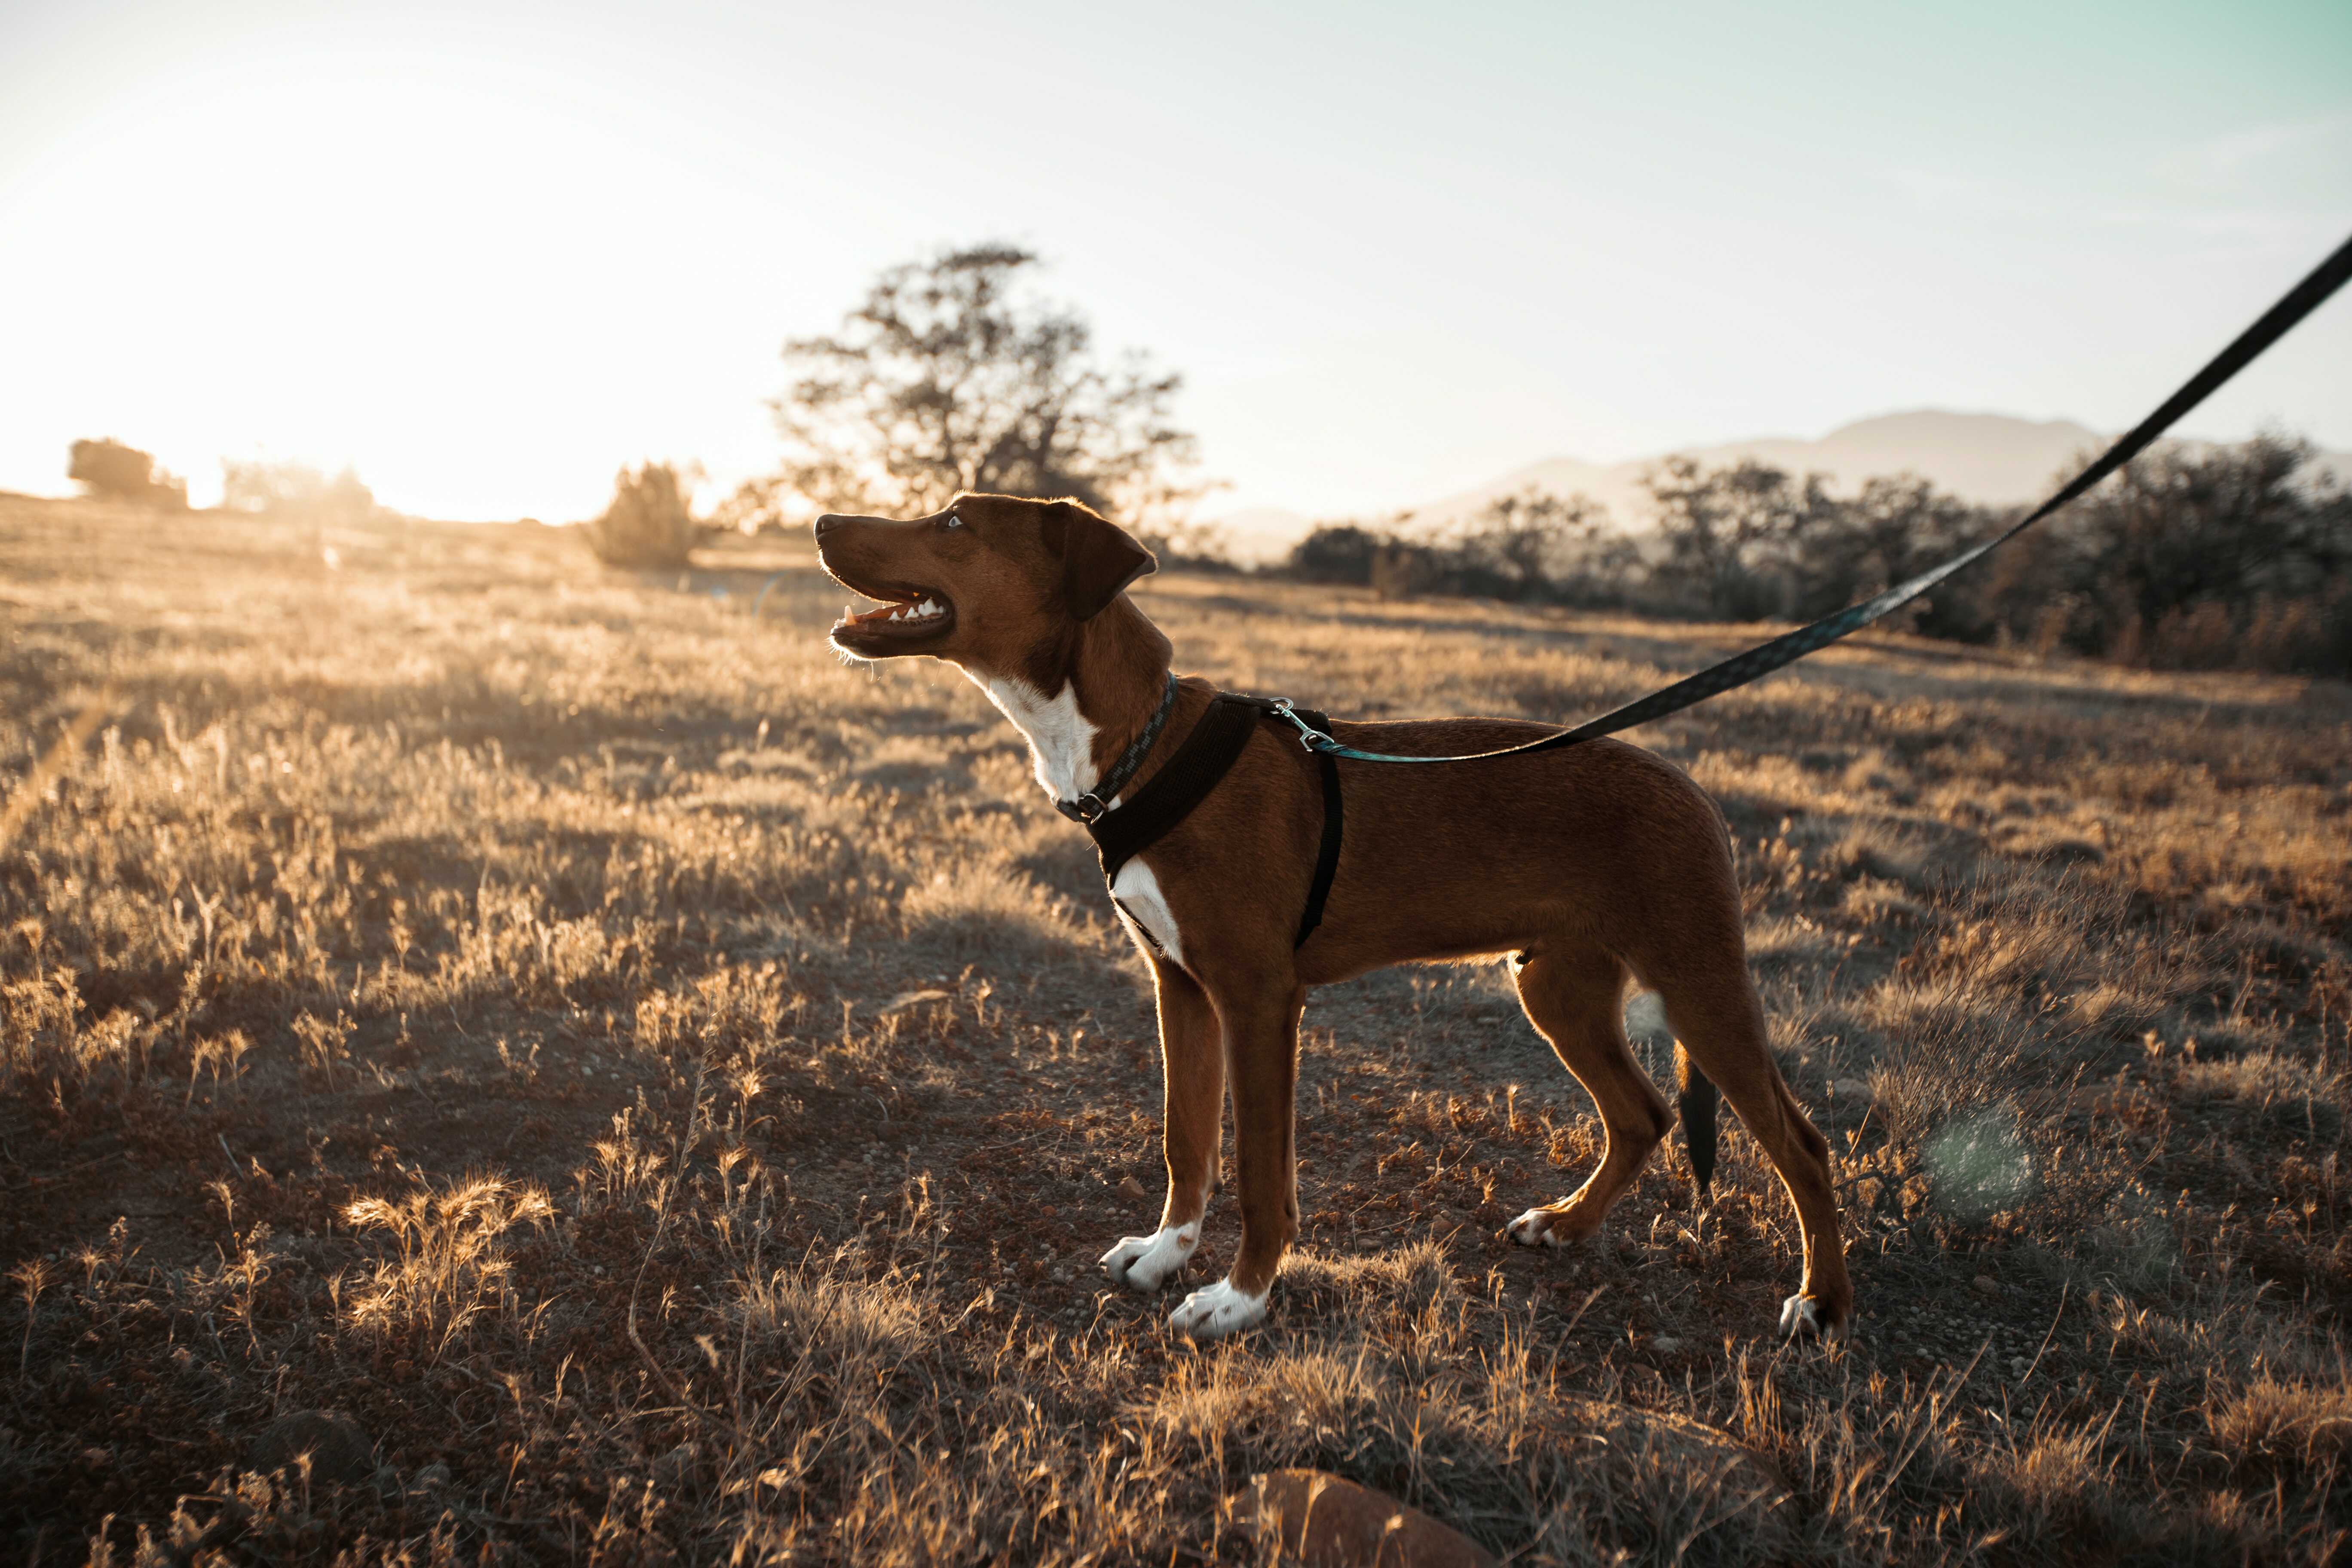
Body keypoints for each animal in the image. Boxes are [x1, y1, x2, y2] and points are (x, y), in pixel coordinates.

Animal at [818, 496, 1844, 1344]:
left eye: (955, 522)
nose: (822, 520)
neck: (1141, 746)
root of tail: (1695, 791)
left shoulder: (1259, 1000)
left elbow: (1261, 1173)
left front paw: (1240, 1299)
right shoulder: (1179, 987)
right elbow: (1186, 1140)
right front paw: (1166, 1253)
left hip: (1698, 981)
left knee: (1801, 1145)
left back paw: (1820, 1304)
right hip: (1558, 987)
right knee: (1642, 1115)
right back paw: (1567, 1224)